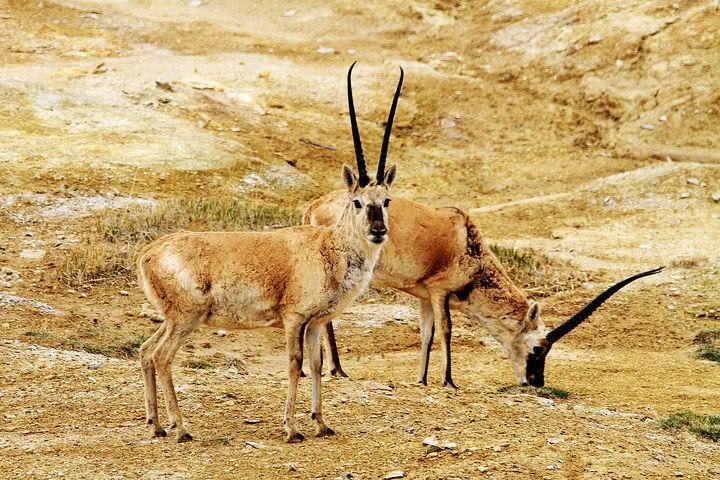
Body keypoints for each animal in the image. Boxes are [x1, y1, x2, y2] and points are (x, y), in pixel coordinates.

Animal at [136, 62, 404, 442]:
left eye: (386, 200)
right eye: (357, 201)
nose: (378, 231)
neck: (327, 248)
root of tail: (148, 254)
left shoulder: (316, 323)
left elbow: (317, 365)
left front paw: (321, 423)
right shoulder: (294, 319)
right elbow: (295, 365)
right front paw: (292, 429)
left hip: (173, 318)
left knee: (145, 351)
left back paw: (157, 425)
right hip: (187, 319)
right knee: (161, 357)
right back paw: (182, 429)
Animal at [304, 195, 664, 386]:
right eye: (538, 348)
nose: (536, 382)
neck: (467, 241)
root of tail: (314, 207)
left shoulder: (424, 296)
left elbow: (426, 334)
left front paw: (422, 380)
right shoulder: (440, 292)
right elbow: (446, 331)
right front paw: (448, 381)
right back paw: (336, 369)